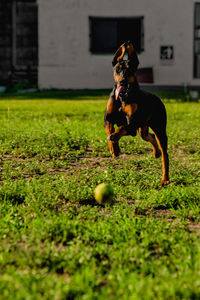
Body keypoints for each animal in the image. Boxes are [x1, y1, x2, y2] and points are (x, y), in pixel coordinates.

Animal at [104, 41, 169, 186]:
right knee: (149, 136)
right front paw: (114, 149)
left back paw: (165, 179)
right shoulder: (108, 118)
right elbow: (110, 129)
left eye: (130, 70)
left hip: (159, 128)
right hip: (143, 128)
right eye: (118, 70)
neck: (122, 97)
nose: (122, 81)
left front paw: (115, 139)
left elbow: (121, 128)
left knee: (165, 154)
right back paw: (156, 152)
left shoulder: (132, 123)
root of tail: (157, 98)